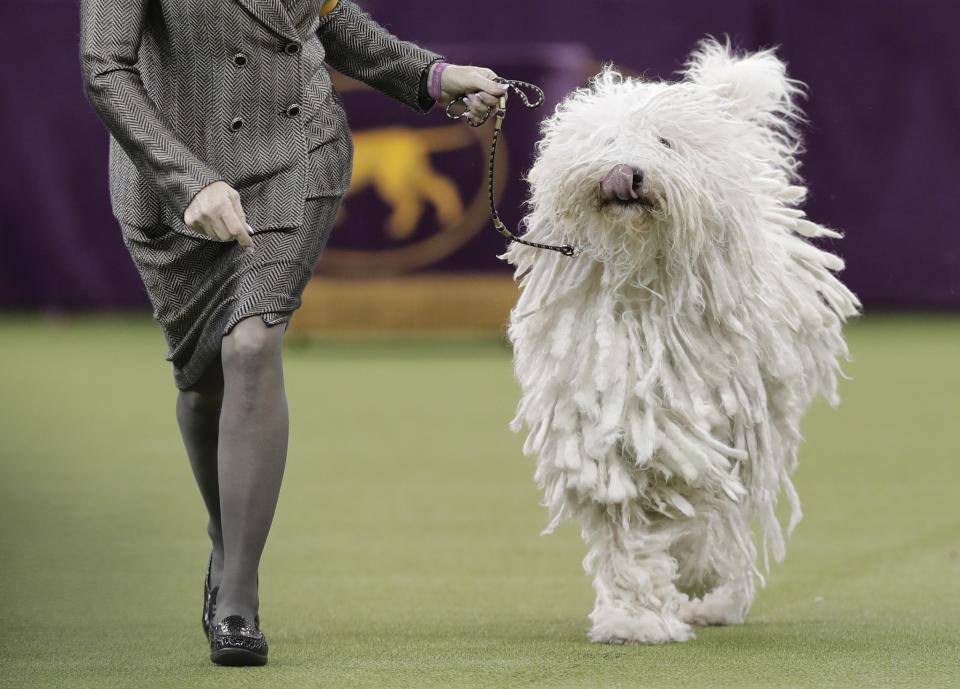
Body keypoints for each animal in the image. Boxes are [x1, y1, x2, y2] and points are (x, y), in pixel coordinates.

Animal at [506, 40, 860, 644]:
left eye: (665, 143)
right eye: (606, 142)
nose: (625, 172)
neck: (640, 288)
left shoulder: (711, 420)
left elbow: (700, 505)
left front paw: (692, 572)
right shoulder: (602, 417)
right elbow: (625, 519)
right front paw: (633, 617)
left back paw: (715, 594)